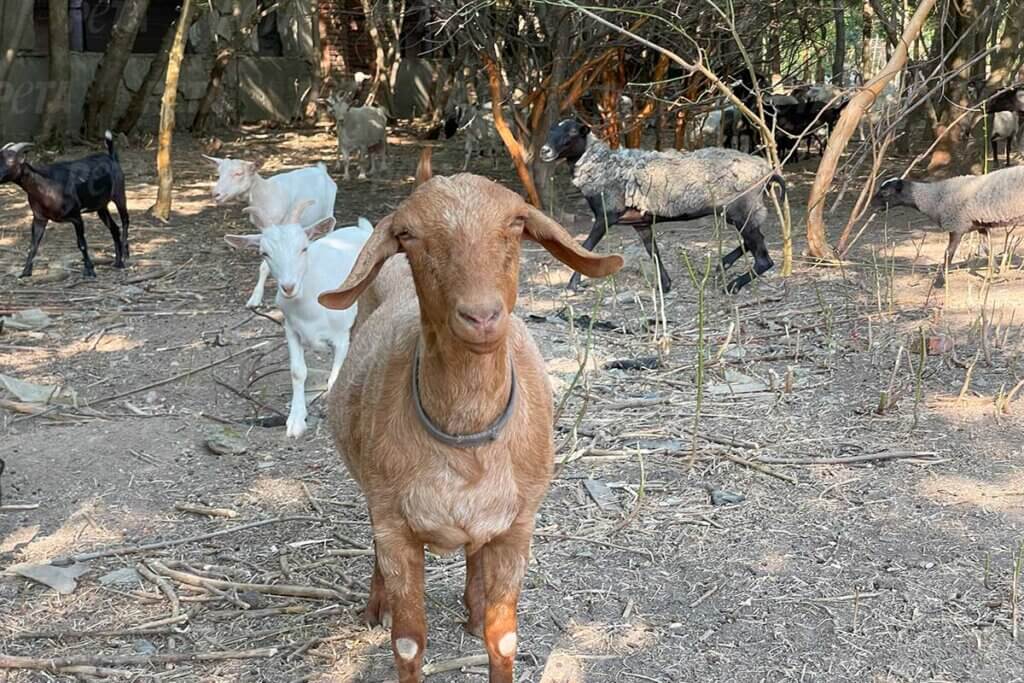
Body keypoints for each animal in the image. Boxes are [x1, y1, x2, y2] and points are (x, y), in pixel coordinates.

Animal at [0, 129, 130, 276]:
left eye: (11, 160)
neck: (46, 187)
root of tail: (112, 158)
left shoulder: (76, 216)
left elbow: (82, 243)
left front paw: (89, 271)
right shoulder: (39, 218)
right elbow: (33, 245)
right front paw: (25, 272)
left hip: (119, 193)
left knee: (125, 220)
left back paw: (125, 255)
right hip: (101, 207)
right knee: (114, 228)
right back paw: (118, 263)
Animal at [202, 156, 335, 309]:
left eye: (238, 173)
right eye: (218, 173)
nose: (216, 194)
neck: (267, 194)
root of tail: (321, 170)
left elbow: (265, 266)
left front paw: (256, 298)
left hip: (329, 210)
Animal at [222, 200, 370, 440]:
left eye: (304, 248)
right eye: (264, 253)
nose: (288, 287)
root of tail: (362, 229)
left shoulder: (341, 337)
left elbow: (334, 378)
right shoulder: (291, 330)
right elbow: (298, 372)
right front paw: (296, 421)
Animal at [544, 118, 782, 294]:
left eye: (572, 132)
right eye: (551, 129)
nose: (544, 150)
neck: (602, 165)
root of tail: (766, 170)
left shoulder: (606, 215)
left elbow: (585, 247)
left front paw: (571, 285)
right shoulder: (640, 222)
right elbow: (653, 251)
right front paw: (665, 285)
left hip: (743, 208)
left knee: (763, 258)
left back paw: (732, 285)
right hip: (740, 211)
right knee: (753, 241)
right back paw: (724, 264)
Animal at [868, 166, 1024, 286]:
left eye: (885, 192)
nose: (871, 205)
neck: (933, 198)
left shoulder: (956, 225)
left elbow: (948, 254)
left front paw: (940, 282)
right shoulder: (980, 225)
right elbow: (988, 248)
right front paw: (997, 273)